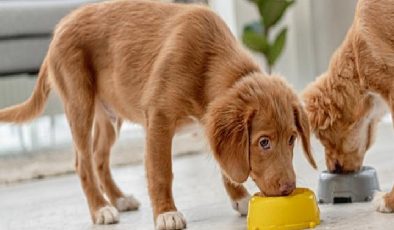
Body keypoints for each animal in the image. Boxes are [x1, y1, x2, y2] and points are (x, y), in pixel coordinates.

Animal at [0, 0, 316, 229]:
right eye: (263, 142)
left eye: (292, 139)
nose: (290, 188)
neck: (209, 61)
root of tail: (60, 26)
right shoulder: (159, 119)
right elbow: (161, 171)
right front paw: (167, 213)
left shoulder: (207, 123)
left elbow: (224, 162)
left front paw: (239, 198)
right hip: (79, 103)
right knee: (83, 162)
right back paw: (101, 208)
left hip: (109, 116)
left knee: (100, 158)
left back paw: (119, 198)